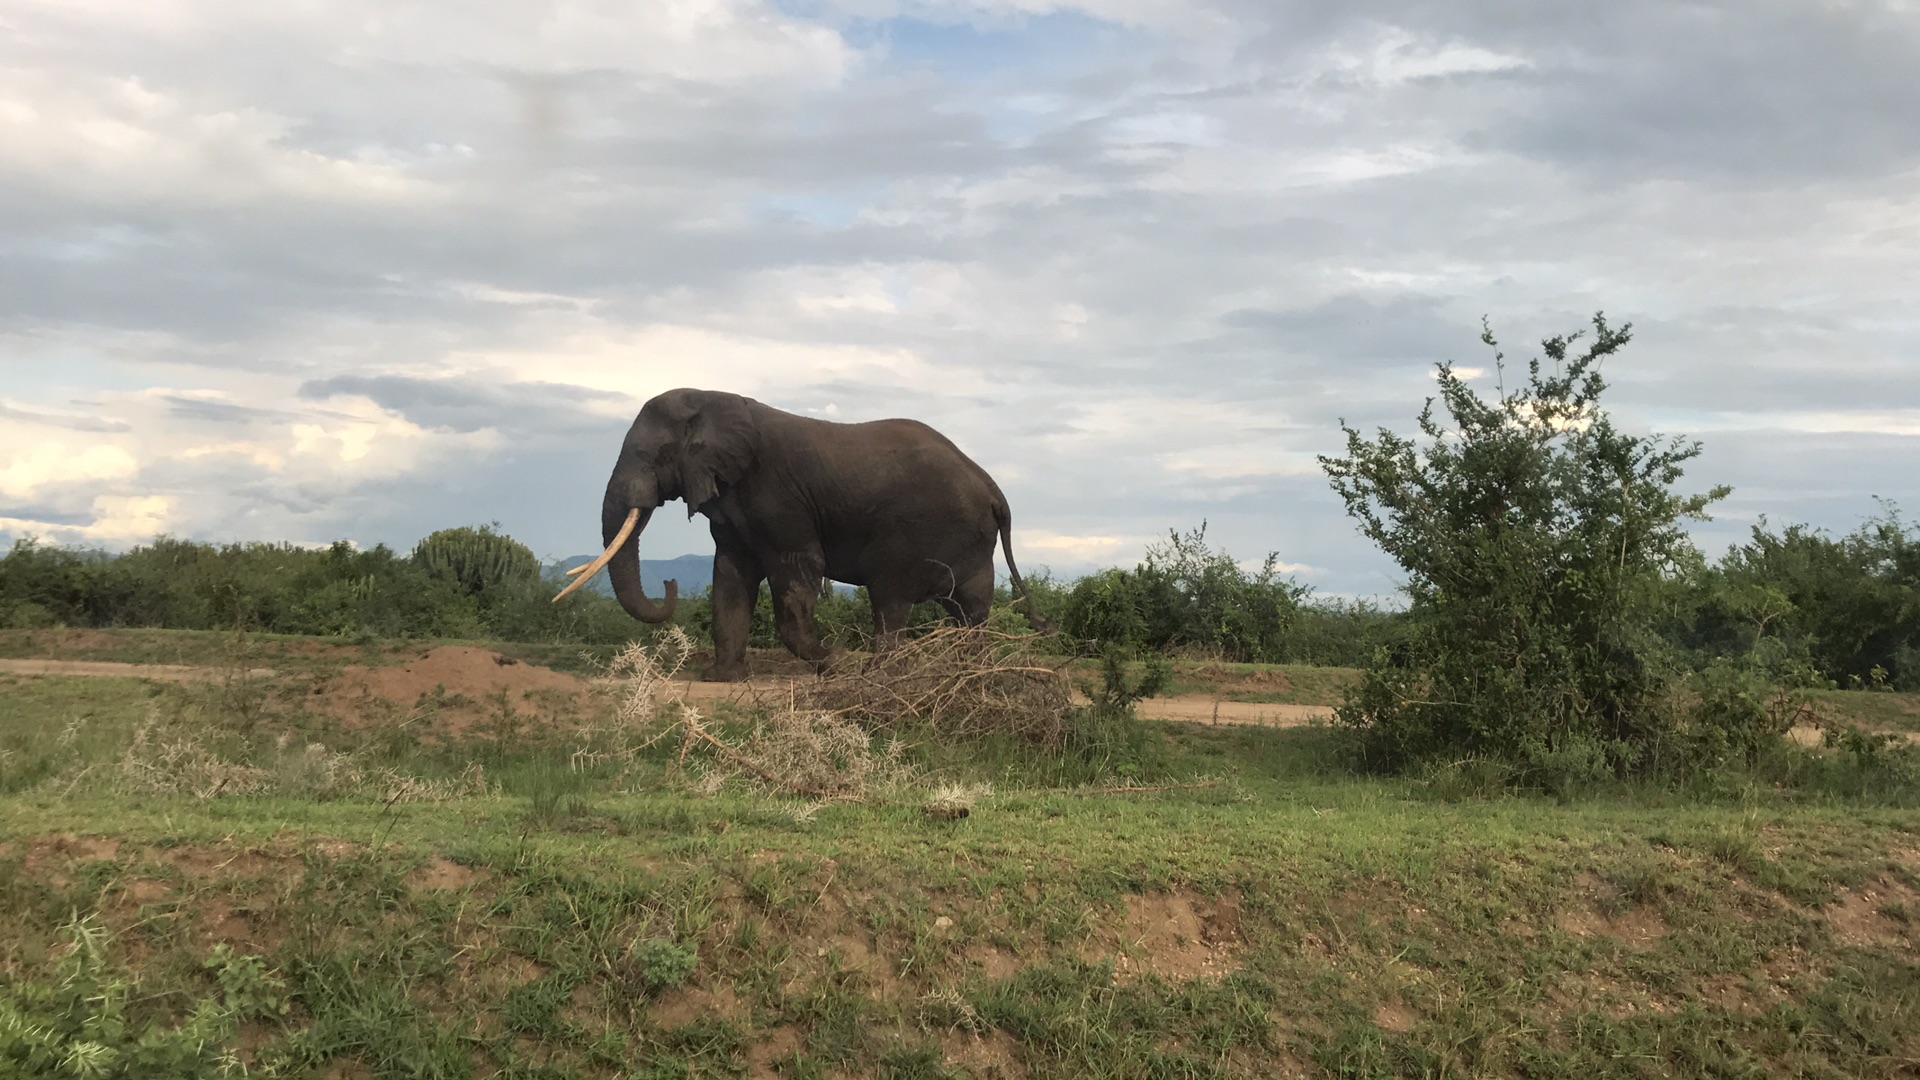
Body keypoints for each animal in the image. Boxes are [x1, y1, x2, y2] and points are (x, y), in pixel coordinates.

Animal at [549, 386, 1059, 676]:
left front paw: (834, 663)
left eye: (649, 455)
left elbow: (796, 572)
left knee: (891, 595)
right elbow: (730, 576)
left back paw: (878, 675)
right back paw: (974, 672)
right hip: (970, 538)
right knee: (969, 606)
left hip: (923, 530)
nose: (670, 584)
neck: (716, 402)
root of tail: (993, 488)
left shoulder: (780, 498)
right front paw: (725, 678)